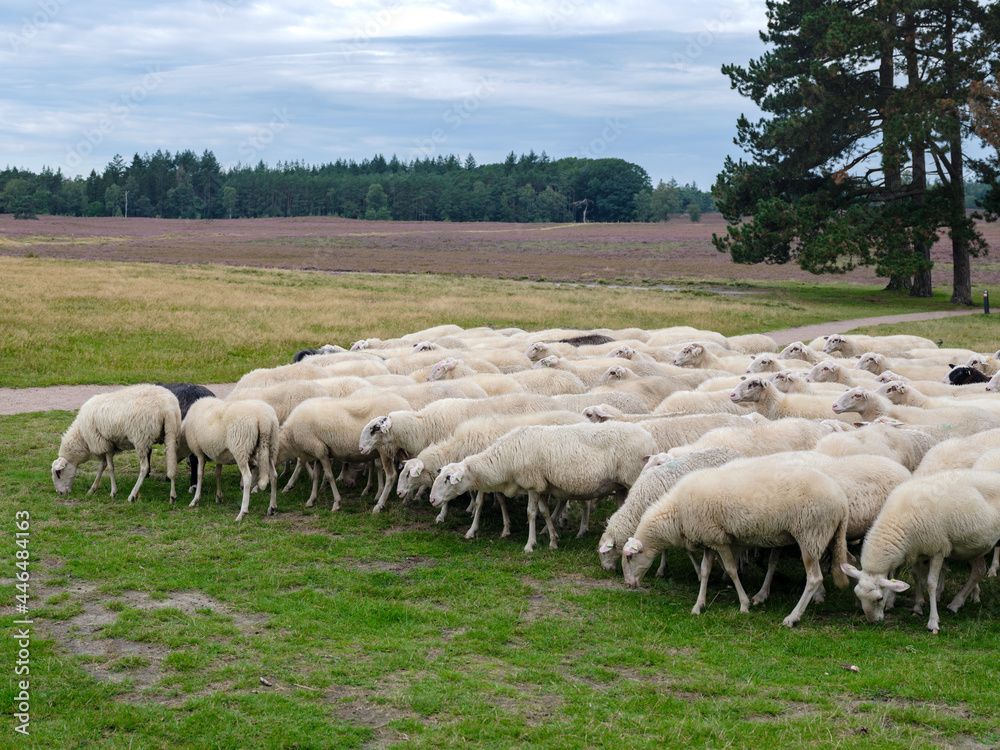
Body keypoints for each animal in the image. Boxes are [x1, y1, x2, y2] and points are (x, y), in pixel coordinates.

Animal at [52, 384, 182, 504]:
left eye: (58, 473)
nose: (60, 493)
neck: (81, 437)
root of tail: (168, 407)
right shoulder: (109, 446)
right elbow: (101, 467)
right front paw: (92, 490)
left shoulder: (104, 444)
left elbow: (110, 468)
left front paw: (113, 492)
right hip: (171, 432)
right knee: (172, 465)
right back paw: (172, 496)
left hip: (141, 438)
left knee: (145, 468)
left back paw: (132, 495)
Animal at [430, 421, 658, 552]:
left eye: (448, 478)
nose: (432, 500)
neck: (506, 458)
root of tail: (651, 439)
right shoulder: (541, 485)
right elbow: (545, 512)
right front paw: (553, 539)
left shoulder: (532, 483)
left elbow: (531, 513)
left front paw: (530, 545)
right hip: (620, 486)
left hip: (633, 478)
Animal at [597, 447, 743, 572]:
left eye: (605, 552)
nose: (605, 569)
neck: (638, 504)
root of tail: (735, 451)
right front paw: (662, 568)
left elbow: (685, 549)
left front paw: (696, 569)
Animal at [621, 463, 850, 627]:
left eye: (630, 557)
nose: (628, 585)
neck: (676, 511)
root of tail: (842, 501)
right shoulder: (709, 538)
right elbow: (705, 570)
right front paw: (699, 605)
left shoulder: (719, 539)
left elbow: (731, 570)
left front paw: (744, 604)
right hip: (819, 536)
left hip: (810, 534)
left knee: (814, 578)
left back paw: (792, 618)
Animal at [842, 470, 1000, 632]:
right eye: (857, 595)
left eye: (879, 598)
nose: (873, 621)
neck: (898, 518)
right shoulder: (917, 550)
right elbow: (916, 576)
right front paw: (917, 608)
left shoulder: (938, 549)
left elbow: (931, 584)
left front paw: (933, 623)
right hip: (976, 546)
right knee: (978, 571)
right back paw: (955, 604)